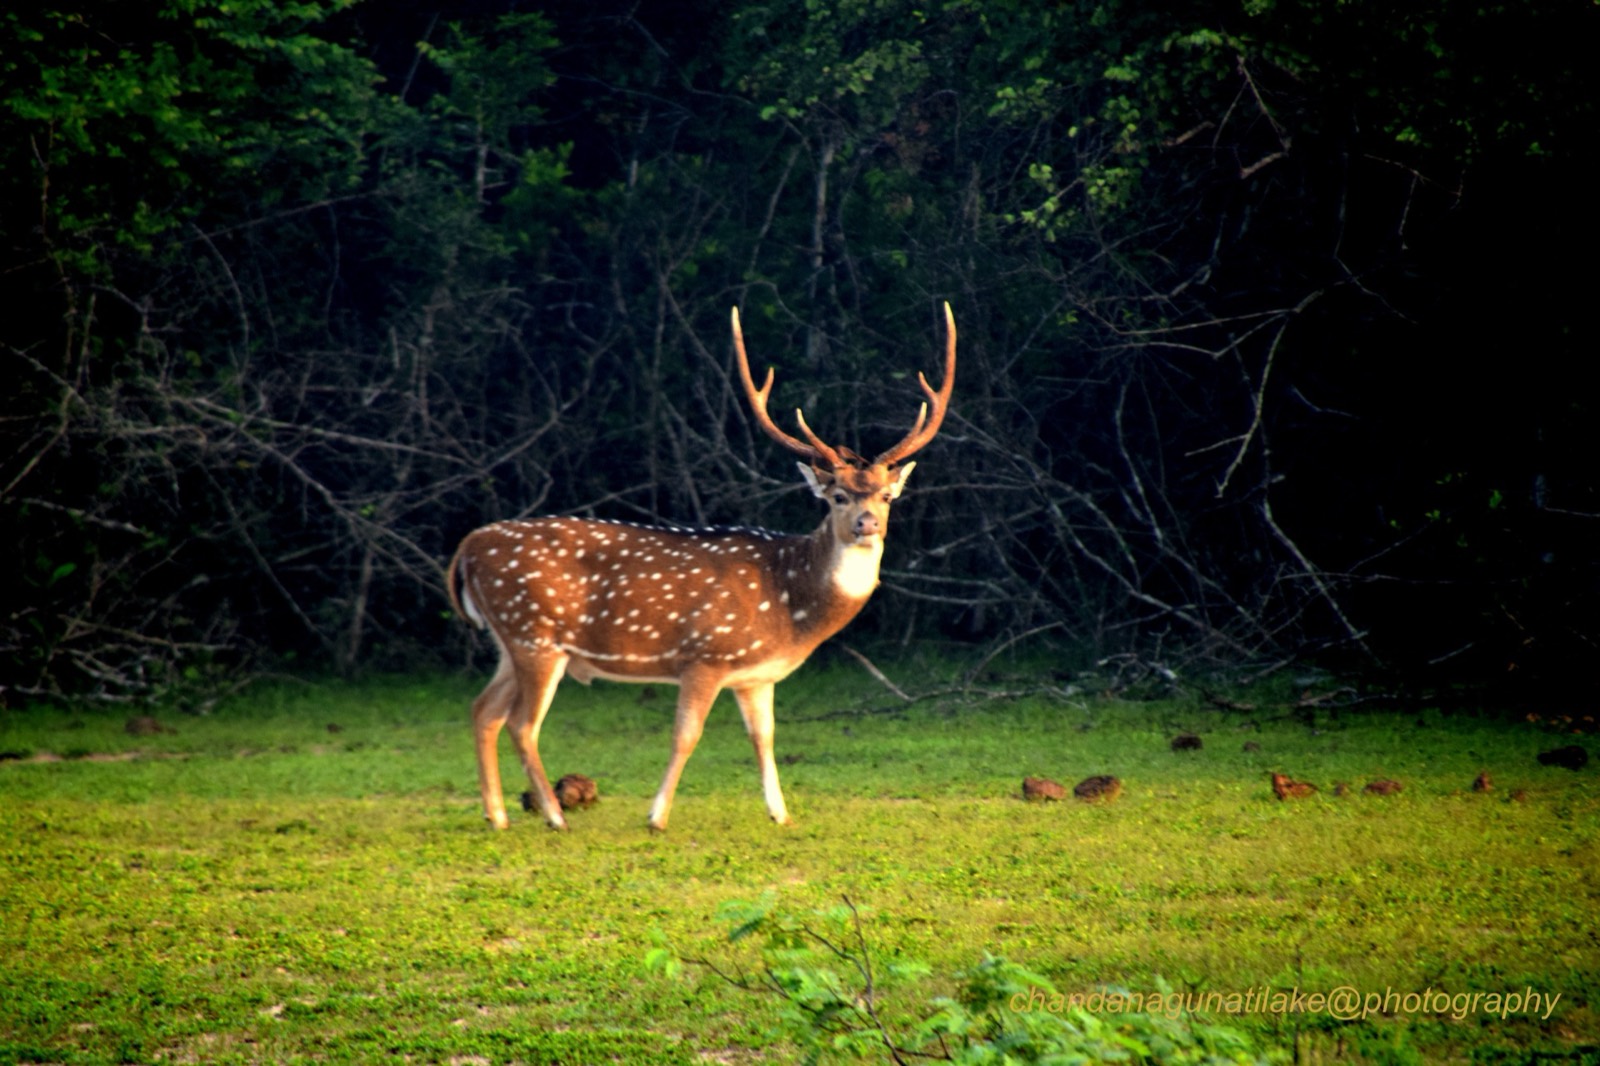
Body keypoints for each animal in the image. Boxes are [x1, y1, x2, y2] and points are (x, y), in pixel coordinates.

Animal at [447, 304, 956, 831]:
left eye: (887, 495)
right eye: (837, 496)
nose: (867, 523)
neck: (790, 605)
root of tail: (467, 548)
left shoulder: (757, 674)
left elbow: (764, 737)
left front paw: (780, 813)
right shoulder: (706, 654)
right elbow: (686, 735)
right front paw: (656, 816)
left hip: (510, 640)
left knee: (483, 711)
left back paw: (497, 815)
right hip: (536, 636)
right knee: (522, 724)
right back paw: (553, 814)